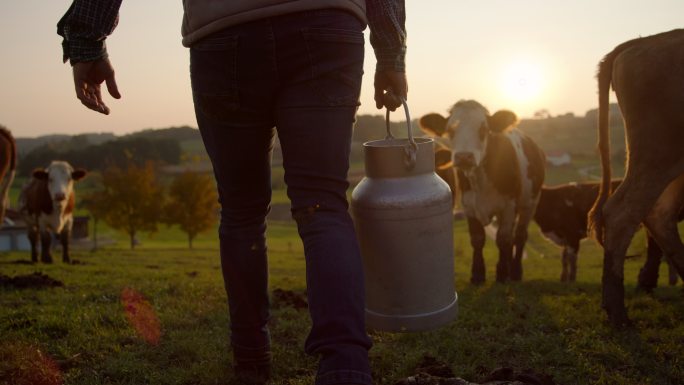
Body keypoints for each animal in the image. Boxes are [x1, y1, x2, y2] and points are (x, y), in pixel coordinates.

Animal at [416, 100, 544, 284]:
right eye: (451, 131)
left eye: (484, 130)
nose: (464, 156)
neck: (480, 180)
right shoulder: (469, 206)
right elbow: (477, 239)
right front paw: (477, 274)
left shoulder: (508, 206)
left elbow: (503, 239)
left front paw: (501, 274)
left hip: (530, 203)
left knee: (520, 236)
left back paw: (515, 272)